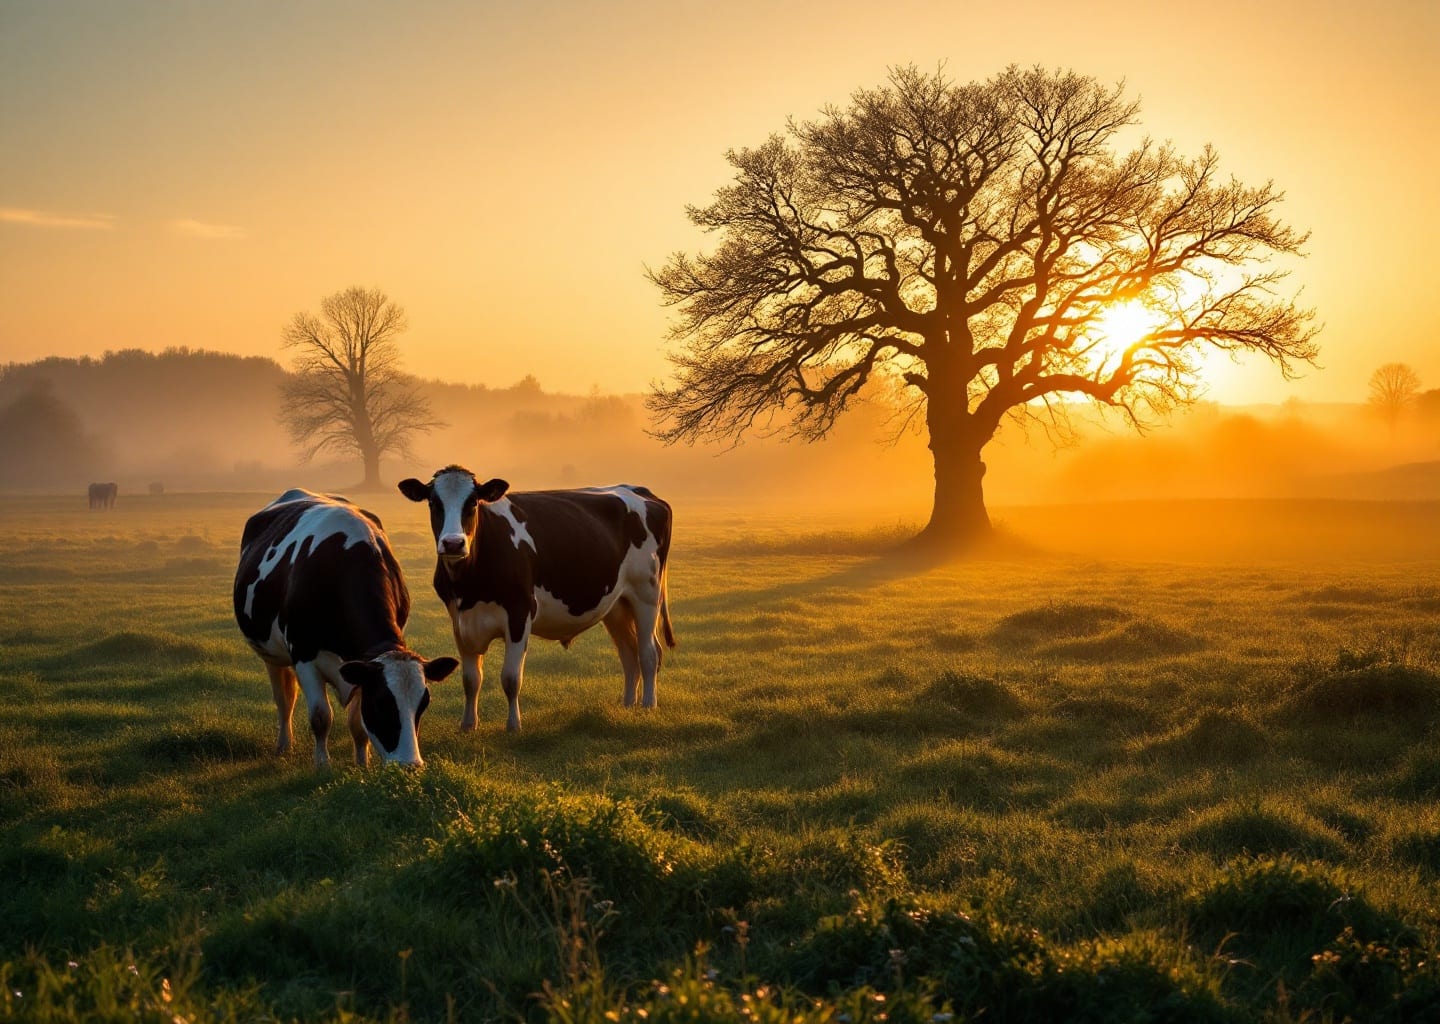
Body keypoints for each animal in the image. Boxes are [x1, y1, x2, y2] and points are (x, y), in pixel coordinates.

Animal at [233, 488, 458, 768]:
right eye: (381, 702)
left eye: (423, 703)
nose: (410, 765)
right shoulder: (304, 656)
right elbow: (321, 717)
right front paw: (322, 766)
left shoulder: (361, 668)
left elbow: (358, 725)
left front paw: (362, 764)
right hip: (271, 653)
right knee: (284, 701)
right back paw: (284, 746)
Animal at [398, 466, 675, 732]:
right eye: (433, 502)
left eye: (473, 502)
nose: (453, 543)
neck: (469, 586)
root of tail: (640, 490)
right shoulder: (460, 621)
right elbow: (470, 680)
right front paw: (468, 725)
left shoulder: (520, 613)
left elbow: (511, 679)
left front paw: (513, 725)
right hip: (617, 604)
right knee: (629, 654)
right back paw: (628, 704)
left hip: (646, 593)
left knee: (649, 653)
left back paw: (648, 705)